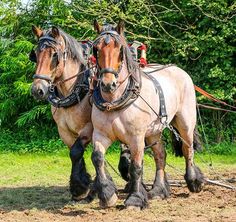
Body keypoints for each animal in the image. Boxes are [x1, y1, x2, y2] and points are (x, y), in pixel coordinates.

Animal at [91, 20, 204, 209]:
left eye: (119, 49)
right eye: (96, 49)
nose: (108, 84)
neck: (115, 101)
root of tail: (180, 71)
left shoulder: (136, 137)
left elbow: (136, 166)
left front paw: (135, 199)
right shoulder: (100, 134)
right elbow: (97, 158)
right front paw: (107, 195)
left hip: (185, 123)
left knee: (188, 149)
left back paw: (193, 181)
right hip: (154, 131)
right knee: (160, 155)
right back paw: (158, 190)